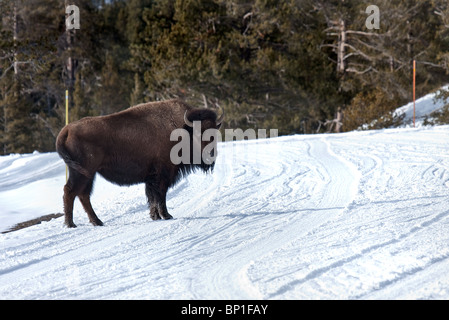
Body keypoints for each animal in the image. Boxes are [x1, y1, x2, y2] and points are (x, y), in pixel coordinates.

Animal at [55, 100, 223, 228]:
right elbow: (160, 195)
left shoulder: (152, 177)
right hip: (82, 173)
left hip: (89, 175)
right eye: (199, 133)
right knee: (70, 192)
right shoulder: (162, 175)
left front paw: (155, 216)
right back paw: (71, 224)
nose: (210, 155)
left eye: (215, 134)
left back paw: (97, 222)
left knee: (83, 195)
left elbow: (153, 196)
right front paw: (166, 215)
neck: (183, 129)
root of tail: (67, 129)